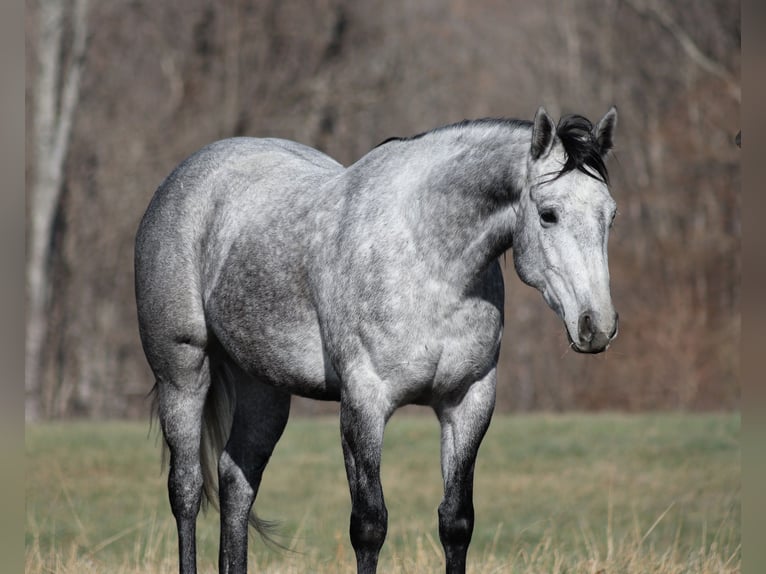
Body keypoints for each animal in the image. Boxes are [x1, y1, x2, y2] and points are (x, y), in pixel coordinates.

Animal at [134, 105, 619, 574]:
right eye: (548, 214)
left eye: (610, 215)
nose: (597, 325)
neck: (429, 259)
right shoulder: (365, 404)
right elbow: (369, 525)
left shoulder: (468, 401)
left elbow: (456, 522)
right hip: (182, 374)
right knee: (186, 490)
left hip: (263, 388)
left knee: (236, 483)